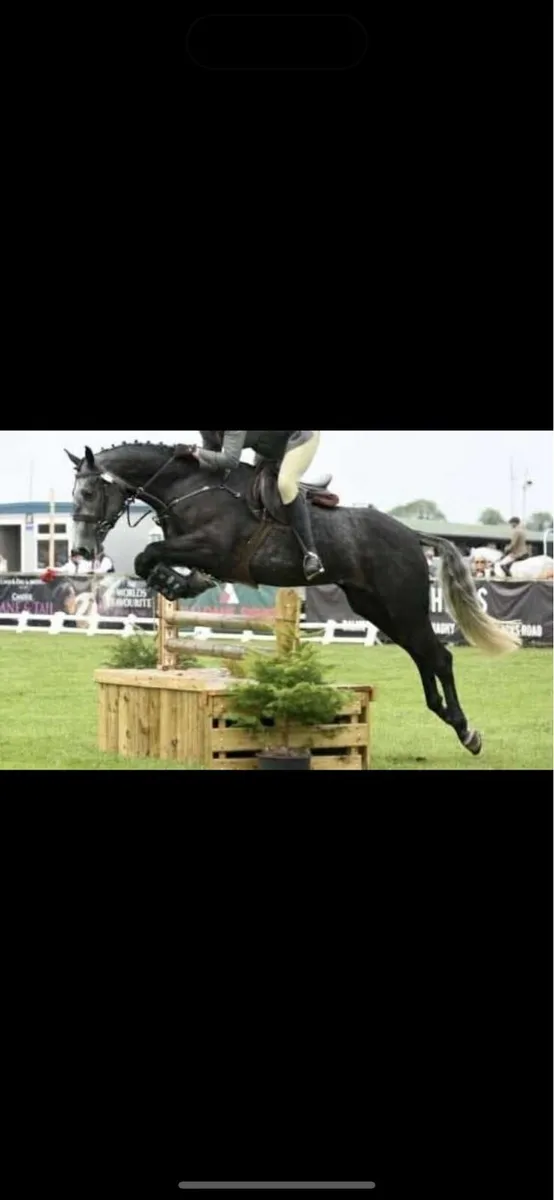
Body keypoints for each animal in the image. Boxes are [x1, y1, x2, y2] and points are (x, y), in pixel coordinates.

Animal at [66, 441, 522, 757]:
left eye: (88, 494)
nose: (82, 550)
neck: (189, 487)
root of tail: (412, 534)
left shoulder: (211, 548)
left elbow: (147, 555)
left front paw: (178, 583)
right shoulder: (190, 548)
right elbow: (149, 559)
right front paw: (178, 584)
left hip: (402, 605)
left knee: (438, 657)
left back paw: (466, 731)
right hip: (377, 608)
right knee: (422, 655)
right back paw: (449, 717)